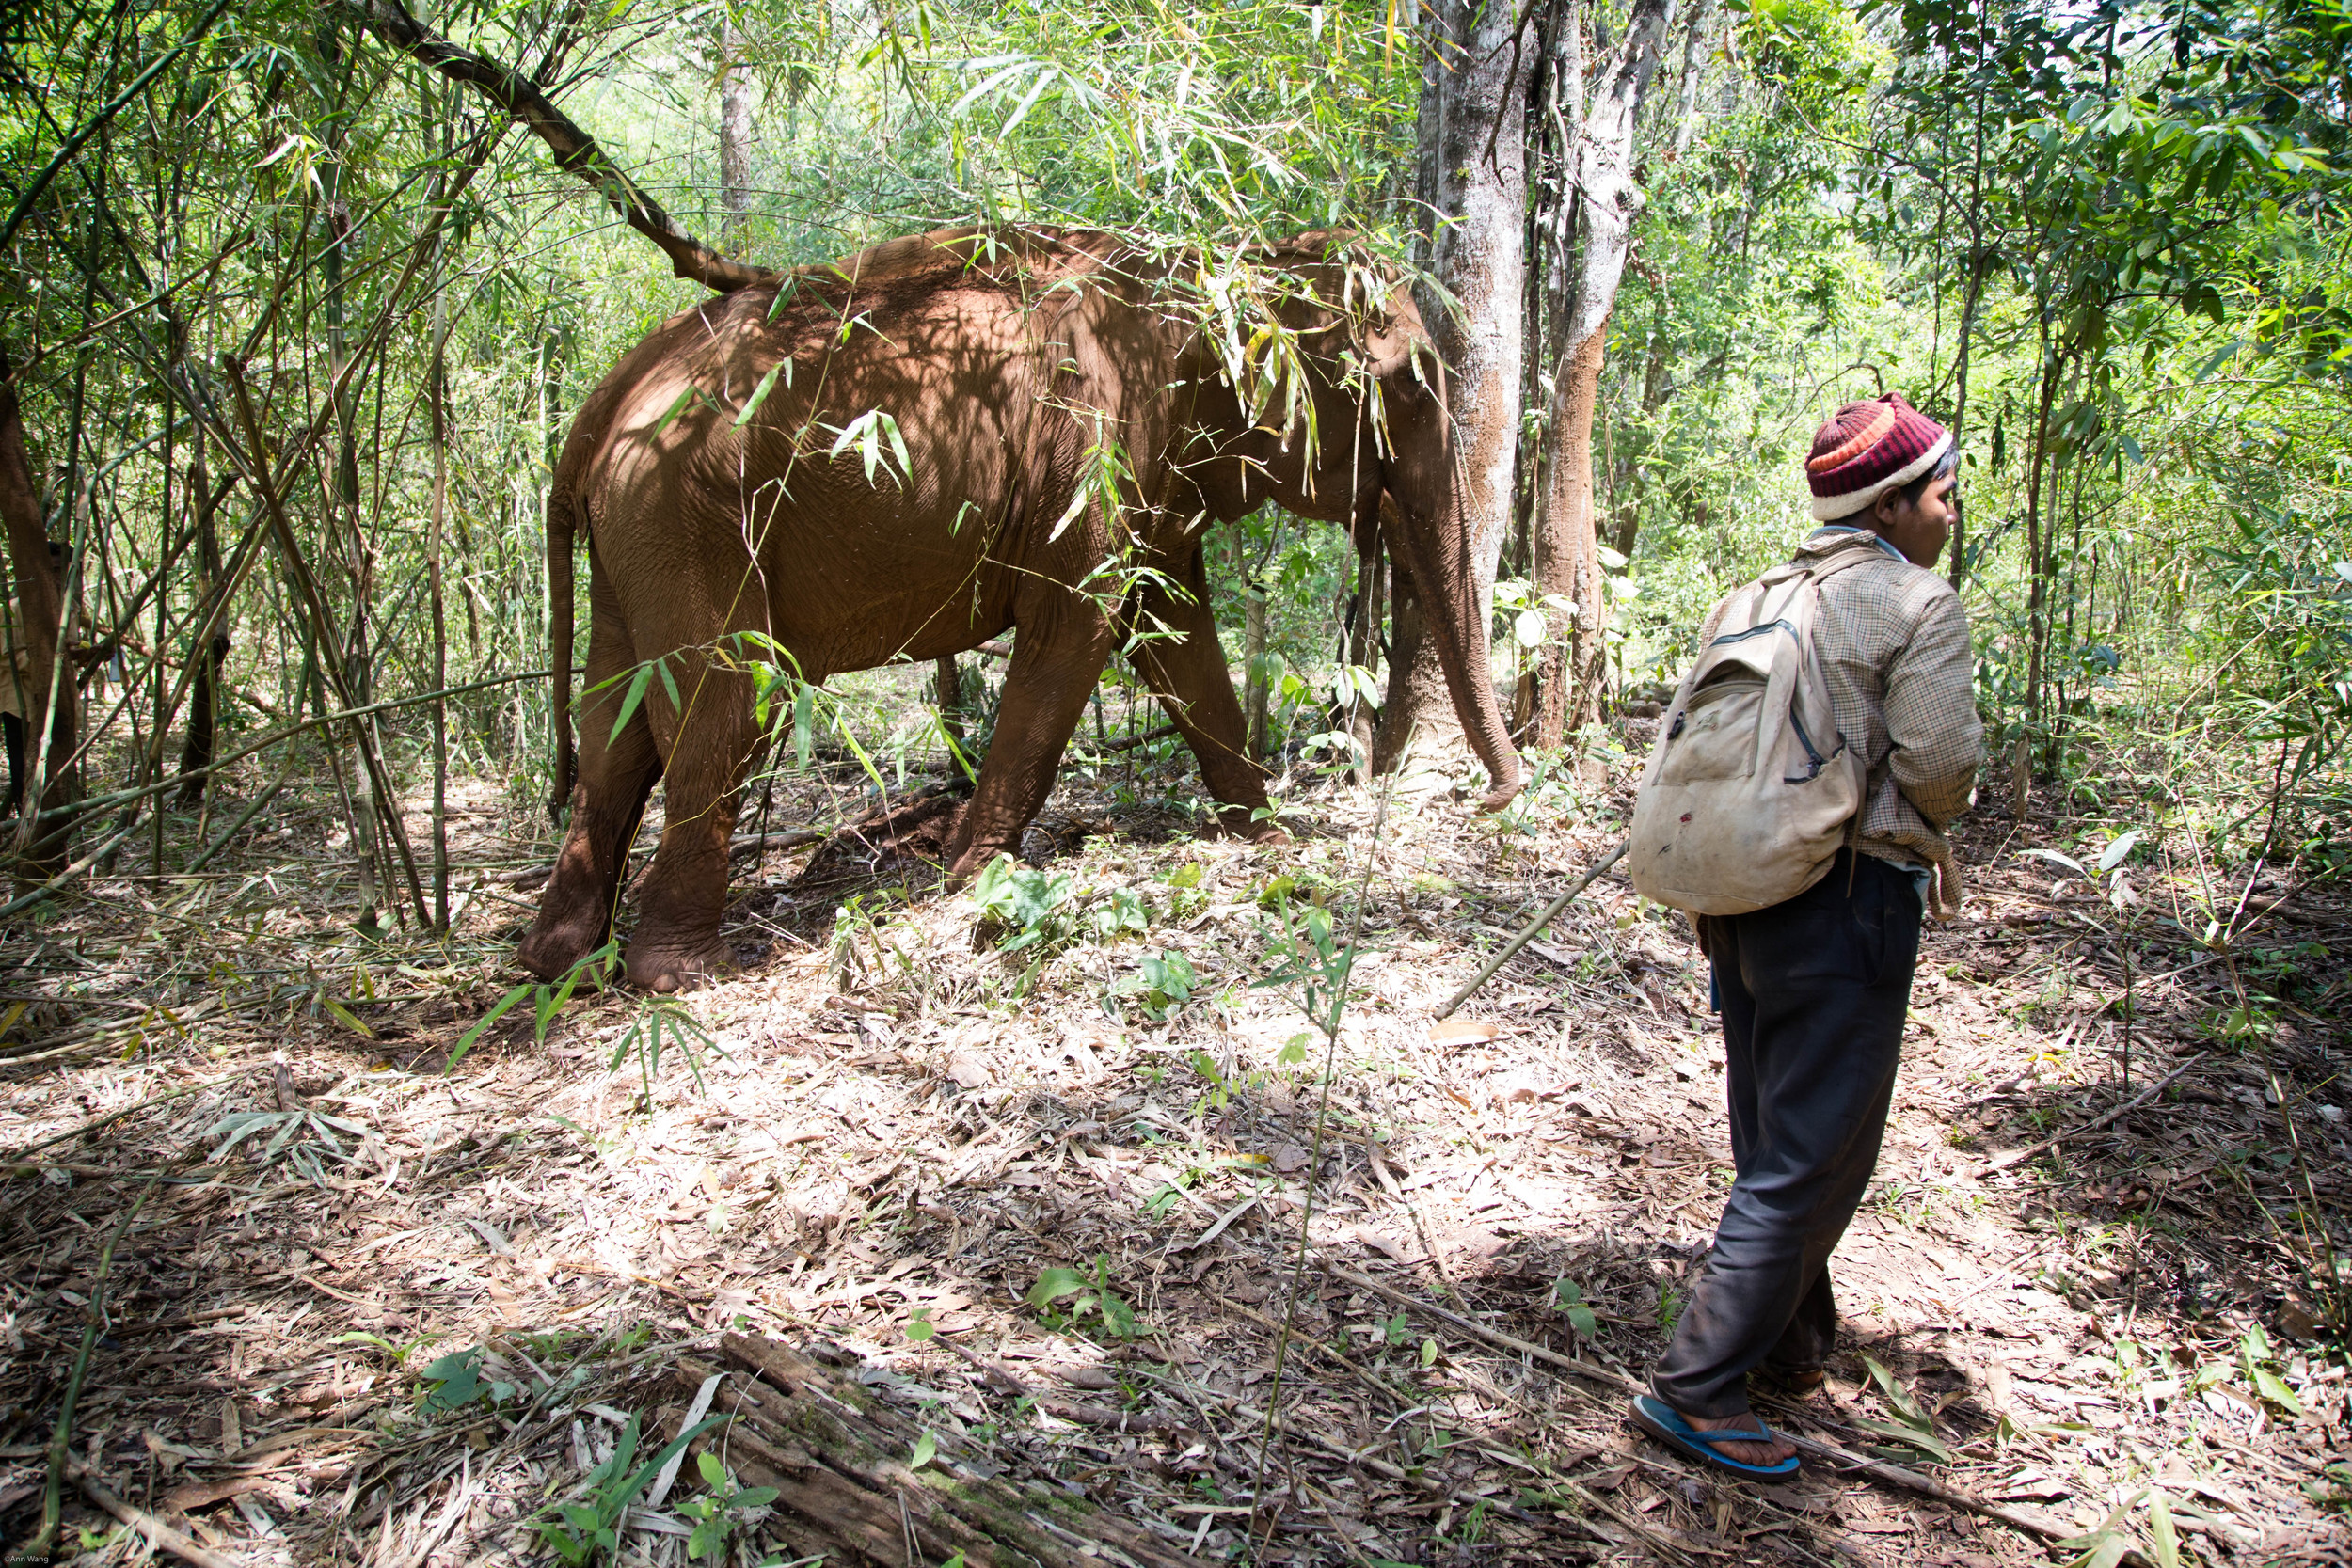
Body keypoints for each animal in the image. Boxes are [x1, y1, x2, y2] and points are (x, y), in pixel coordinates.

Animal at [515, 225, 1524, 987]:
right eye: (1404, 382)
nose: (1498, 797)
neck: (1213, 255)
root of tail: (599, 406)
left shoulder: (1145, 472)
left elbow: (1174, 635)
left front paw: (1262, 831)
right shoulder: (1096, 445)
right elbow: (1077, 627)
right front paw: (965, 868)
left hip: (636, 537)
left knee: (614, 730)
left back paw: (559, 963)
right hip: (691, 516)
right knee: (729, 710)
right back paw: (679, 975)